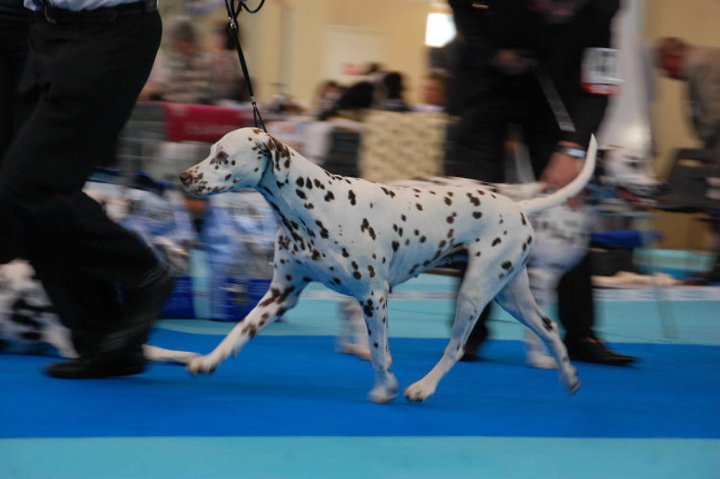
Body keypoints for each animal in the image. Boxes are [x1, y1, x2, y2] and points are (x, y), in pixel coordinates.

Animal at [180, 126, 596, 402]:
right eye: (210, 151)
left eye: (222, 157)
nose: (184, 176)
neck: (314, 205)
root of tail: (520, 205)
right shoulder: (280, 295)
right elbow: (239, 332)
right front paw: (208, 360)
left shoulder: (374, 297)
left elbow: (379, 351)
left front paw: (386, 388)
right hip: (512, 295)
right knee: (549, 329)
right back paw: (570, 377)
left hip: (475, 293)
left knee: (457, 348)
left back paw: (423, 387)